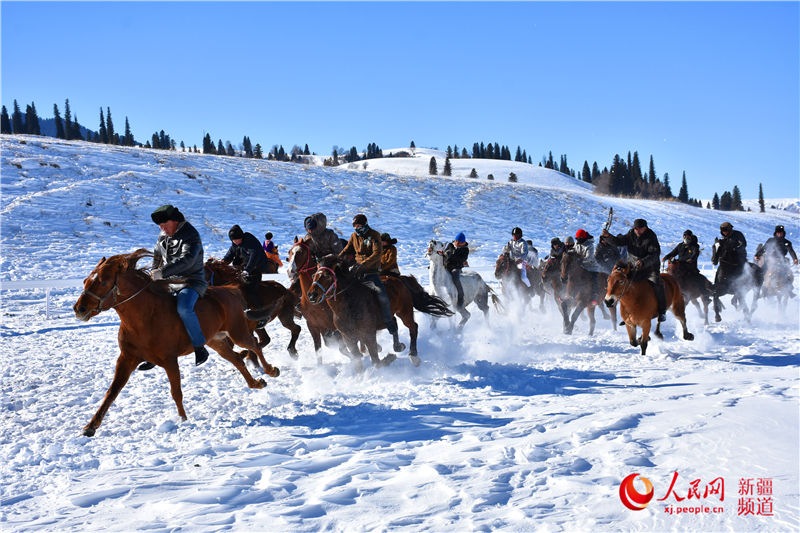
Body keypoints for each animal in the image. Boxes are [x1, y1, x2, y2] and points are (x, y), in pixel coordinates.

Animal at [72, 249, 278, 436]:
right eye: (85, 281)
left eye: (103, 281)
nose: (79, 308)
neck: (145, 317)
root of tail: (232, 289)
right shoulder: (126, 359)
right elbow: (112, 392)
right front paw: (90, 426)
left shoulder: (170, 360)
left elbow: (175, 392)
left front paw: (183, 420)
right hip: (216, 341)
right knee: (237, 358)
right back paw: (256, 383)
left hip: (238, 333)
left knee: (254, 345)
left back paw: (270, 370)